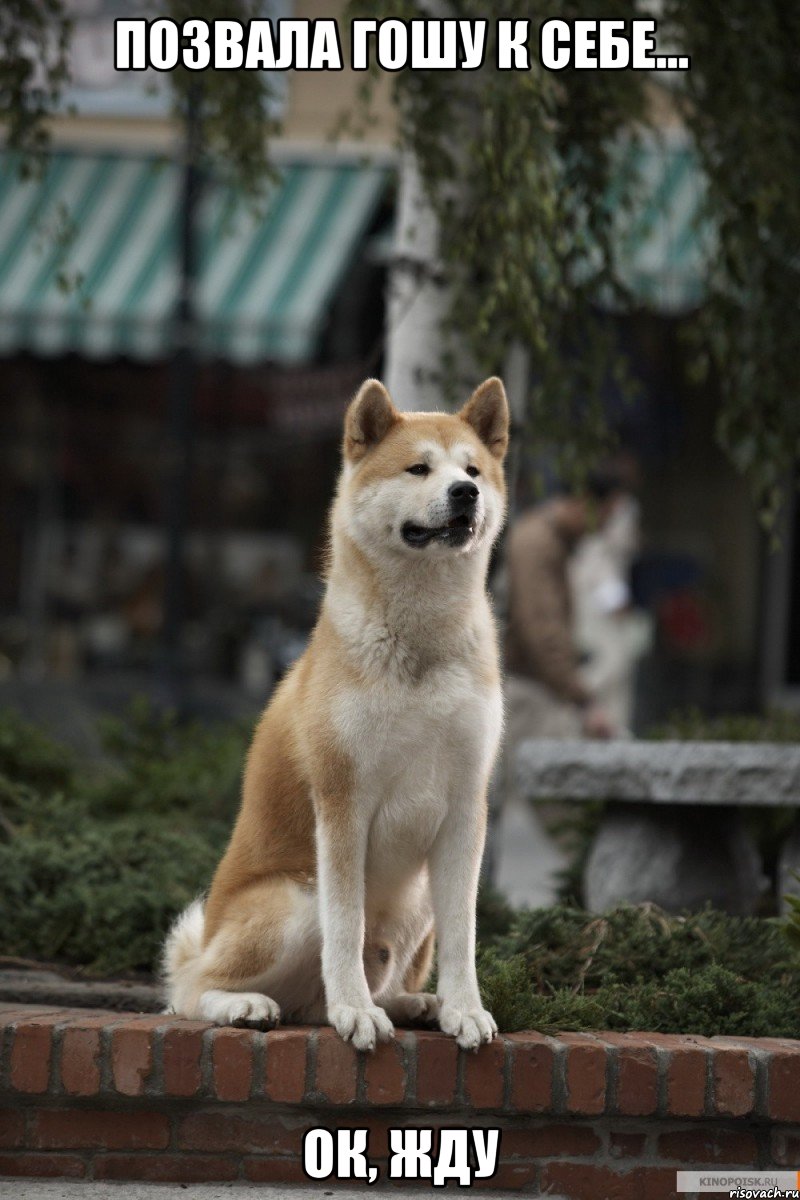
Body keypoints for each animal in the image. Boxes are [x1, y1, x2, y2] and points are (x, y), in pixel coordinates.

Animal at [164, 374, 506, 1051]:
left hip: (416, 900)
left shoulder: (465, 806)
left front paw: (464, 1009)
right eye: (419, 468)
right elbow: (345, 928)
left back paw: (413, 1003)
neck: (420, 644)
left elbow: (465, 934)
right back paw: (251, 1004)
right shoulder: (344, 801)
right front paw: (355, 1011)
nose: (466, 493)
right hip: (296, 900)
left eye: (473, 469)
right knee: (189, 990)